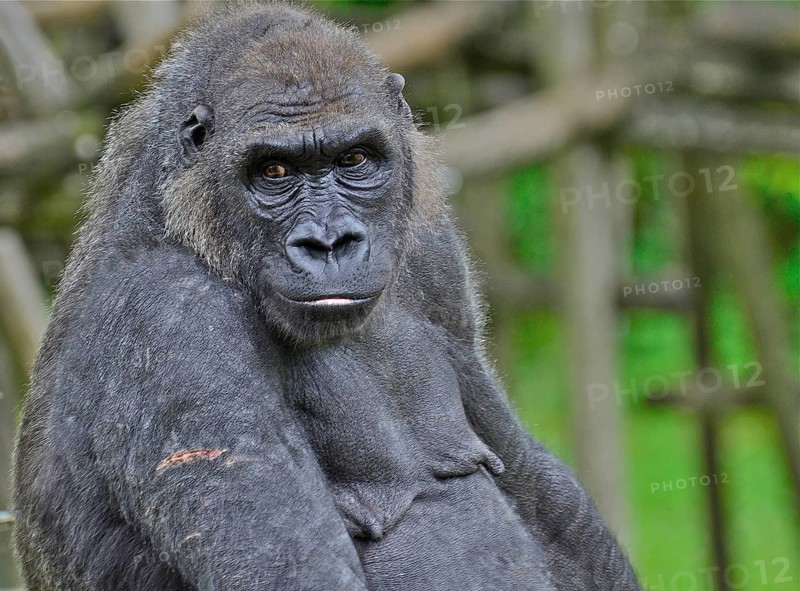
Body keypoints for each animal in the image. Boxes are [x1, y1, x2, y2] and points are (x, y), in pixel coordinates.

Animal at [12, 3, 641, 590]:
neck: (186, 220)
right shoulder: (170, 319)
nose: (330, 242)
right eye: (273, 171)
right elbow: (294, 570)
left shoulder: (434, 254)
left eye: (354, 159)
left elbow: (534, 481)